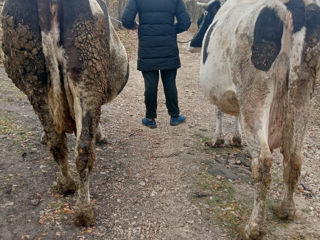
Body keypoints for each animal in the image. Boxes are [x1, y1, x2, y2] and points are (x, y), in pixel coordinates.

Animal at [1, 0, 129, 225]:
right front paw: (101, 135)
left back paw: (66, 184)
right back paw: (84, 211)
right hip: (88, 73)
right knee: (84, 149)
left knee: (57, 142)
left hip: (34, 77)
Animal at [190, 0, 320, 238]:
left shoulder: (224, 93)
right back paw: (285, 210)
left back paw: (253, 227)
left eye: (204, 15)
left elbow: (218, 112)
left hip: (254, 94)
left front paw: (218, 140)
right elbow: (234, 117)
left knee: (262, 161)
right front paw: (235, 138)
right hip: (304, 90)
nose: (193, 43)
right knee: (294, 157)